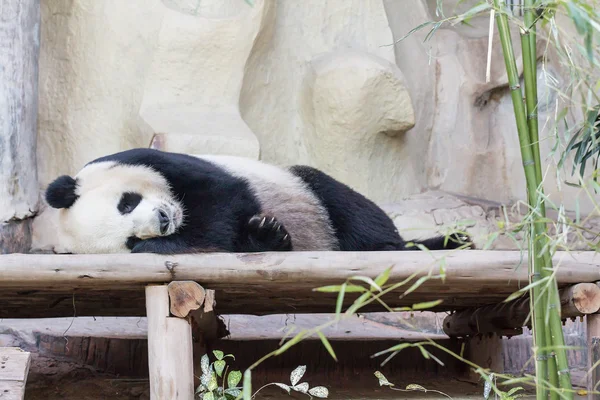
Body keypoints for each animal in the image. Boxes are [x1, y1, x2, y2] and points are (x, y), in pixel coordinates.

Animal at [44, 148, 472, 255]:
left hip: (305, 187)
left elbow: (223, 197)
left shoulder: (157, 161)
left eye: (126, 202)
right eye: (131, 239)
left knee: (348, 208)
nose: (164, 221)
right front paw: (267, 235)